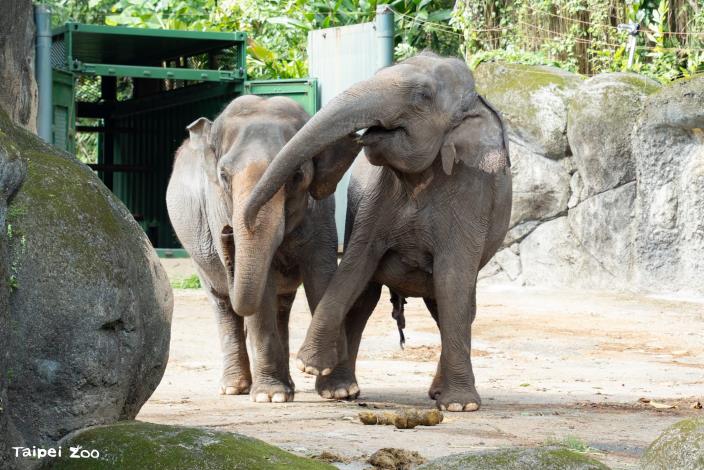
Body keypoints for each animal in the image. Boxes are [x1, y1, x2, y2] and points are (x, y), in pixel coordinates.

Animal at [166, 95, 358, 402]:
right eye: (223, 175)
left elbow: (323, 274)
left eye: (297, 175)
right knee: (222, 303)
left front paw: (340, 391)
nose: (227, 232)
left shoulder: (321, 211)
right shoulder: (218, 205)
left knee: (281, 304)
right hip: (196, 254)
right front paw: (270, 396)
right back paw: (236, 388)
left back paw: (286, 386)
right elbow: (262, 287)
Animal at [243, 52, 512, 412]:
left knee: (455, 305)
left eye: (422, 96)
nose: (354, 137)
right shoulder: (375, 198)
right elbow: (356, 264)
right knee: (366, 300)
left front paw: (459, 406)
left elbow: (452, 278)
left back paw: (439, 394)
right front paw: (309, 365)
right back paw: (346, 392)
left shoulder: (472, 192)